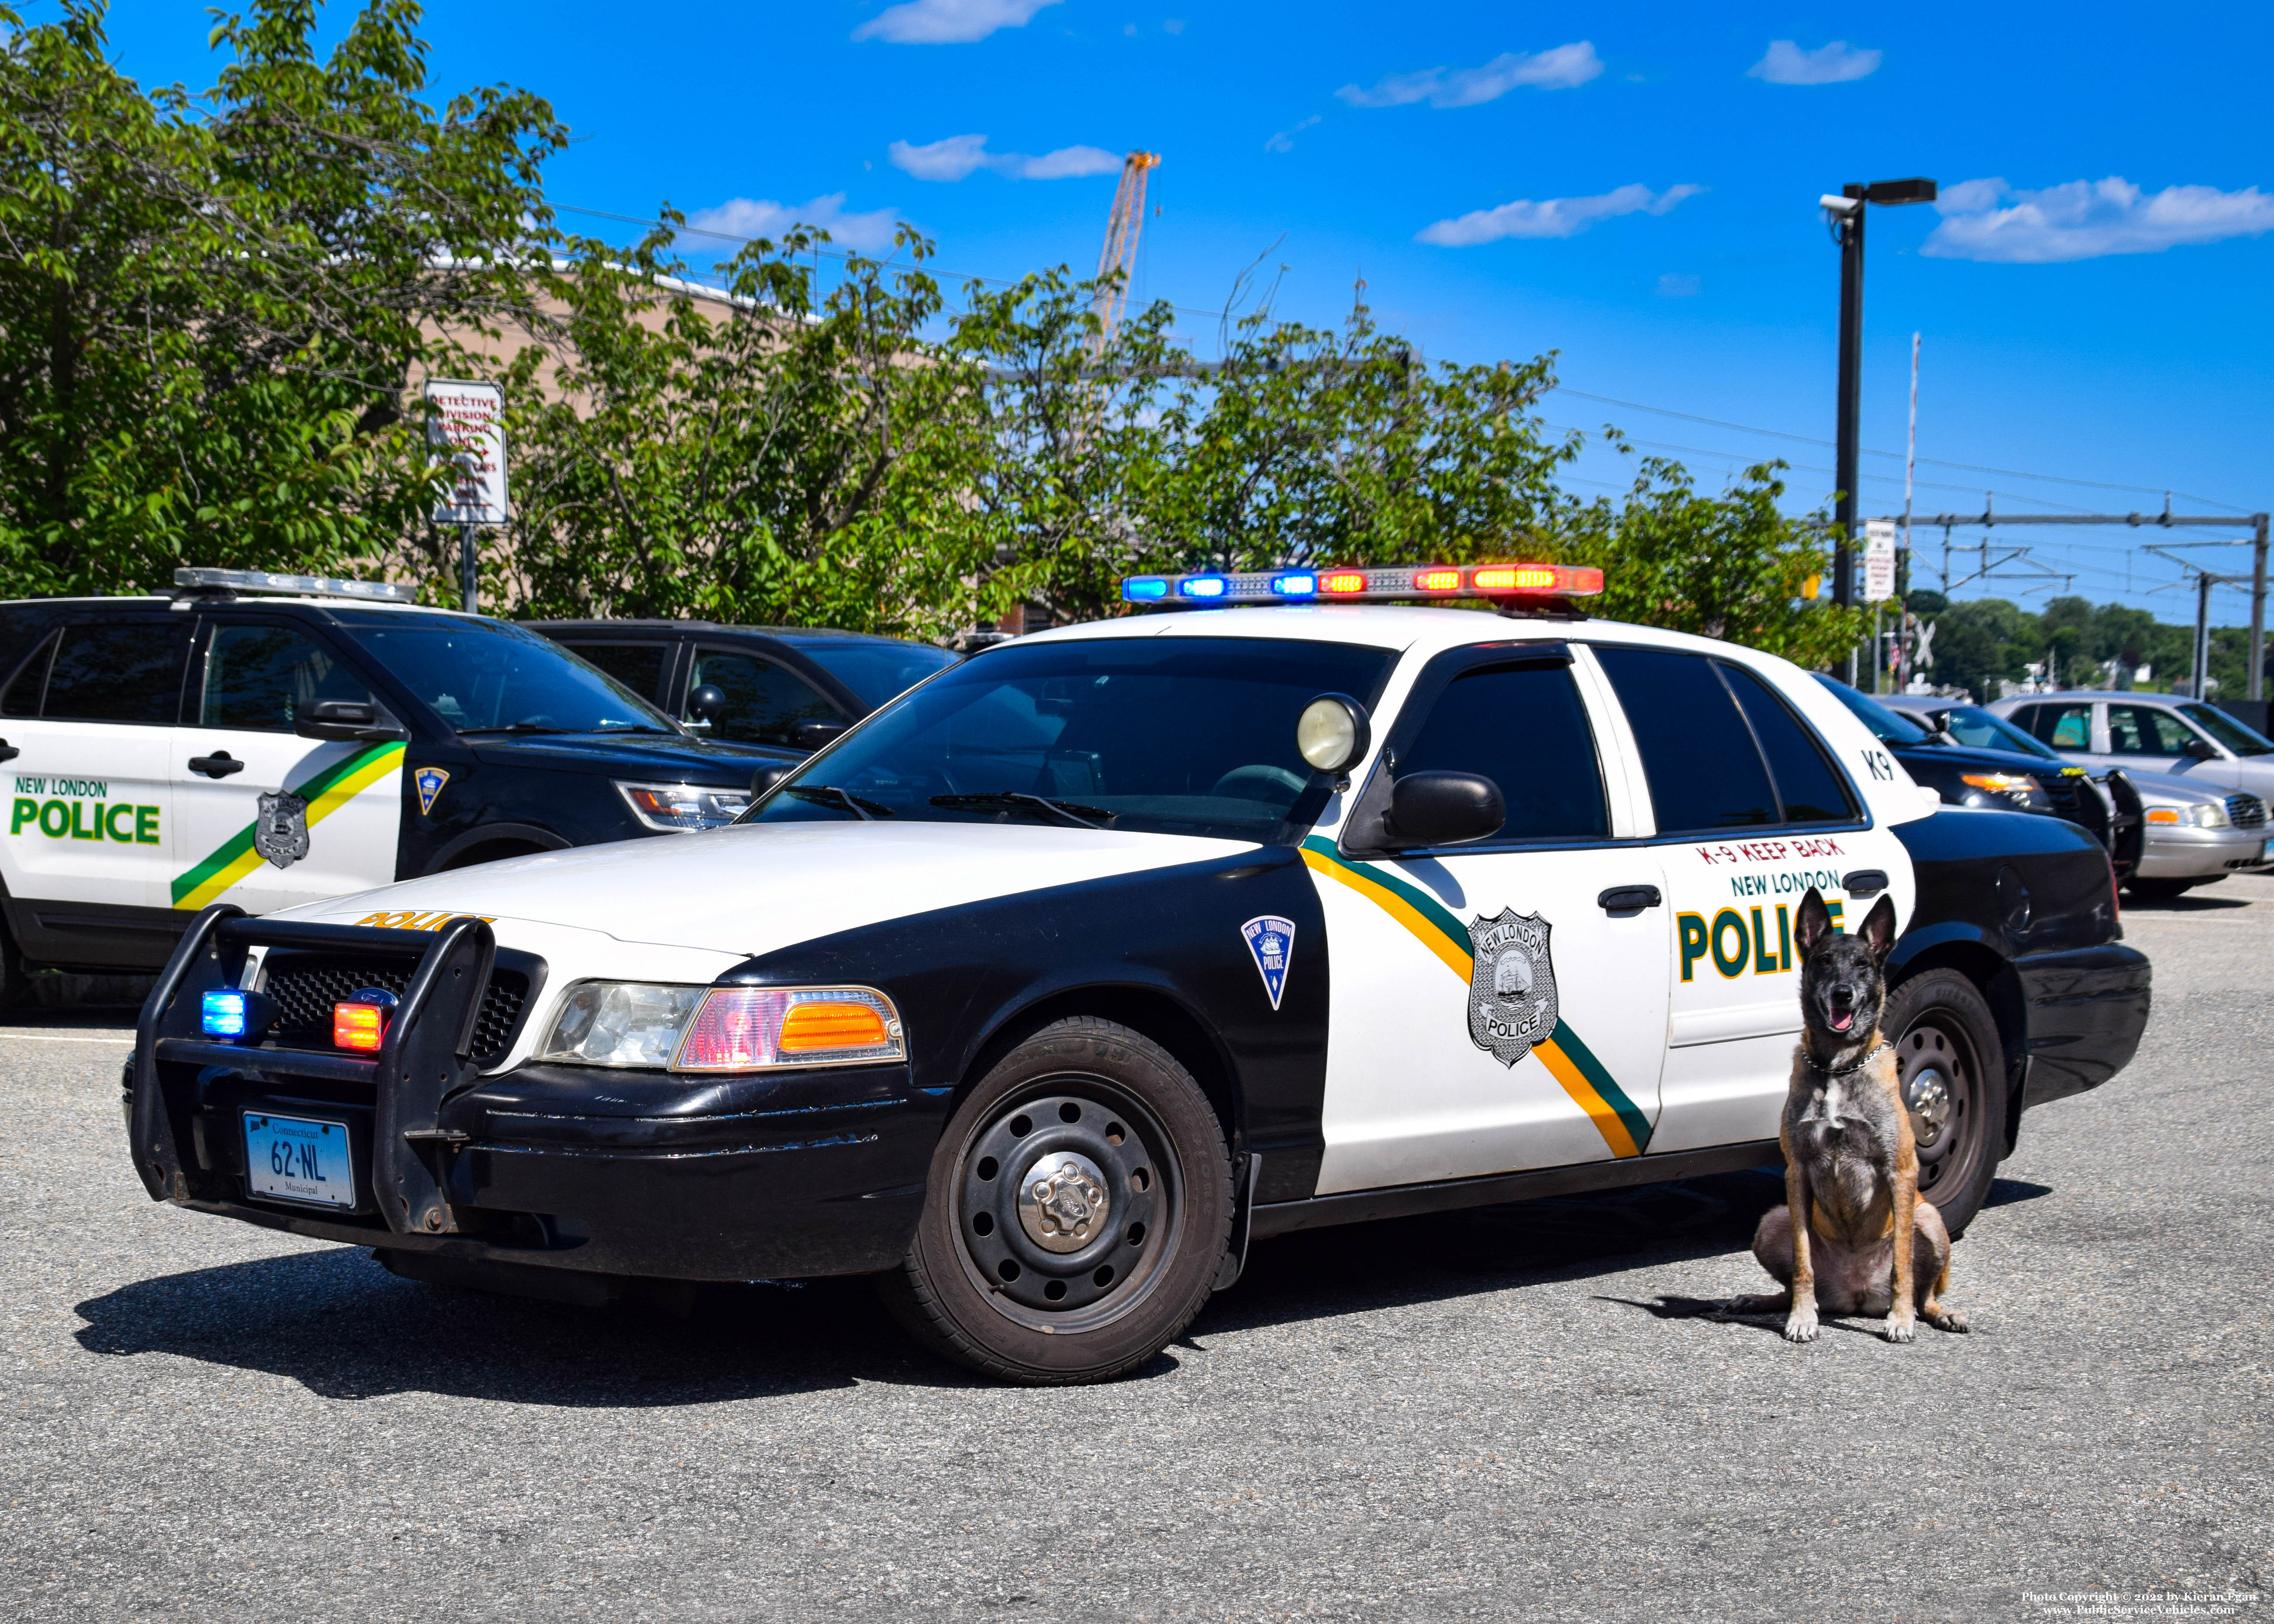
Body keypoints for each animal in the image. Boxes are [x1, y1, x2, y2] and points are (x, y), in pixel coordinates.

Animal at [1719, 887, 1974, 1337]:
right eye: (1823, 961)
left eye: (1862, 965)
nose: (1843, 993)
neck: (1839, 1067)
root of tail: (1857, 1296)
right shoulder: (1797, 1173)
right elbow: (1803, 1262)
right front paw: (1803, 1317)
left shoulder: (1900, 1171)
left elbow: (1903, 1264)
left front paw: (1900, 1319)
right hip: (1772, 1220)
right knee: (1790, 1283)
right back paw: (1762, 1301)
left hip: (1930, 1219)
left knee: (1925, 1292)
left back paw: (1938, 1313)